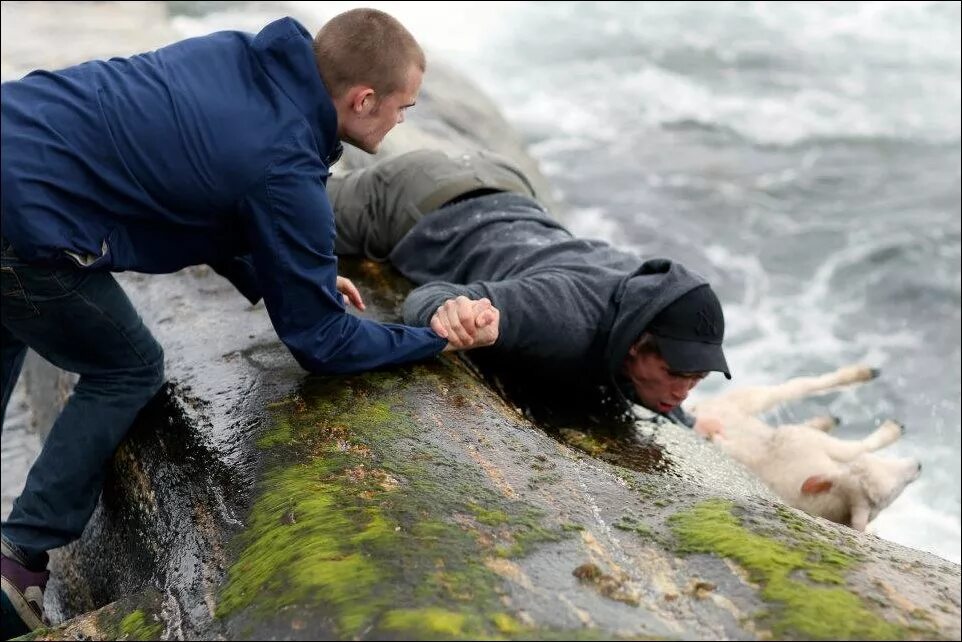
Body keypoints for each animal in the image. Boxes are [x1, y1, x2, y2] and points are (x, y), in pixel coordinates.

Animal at [688, 364, 920, 528]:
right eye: (894, 492)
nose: (919, 465)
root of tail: (693, 410)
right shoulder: (814, 442)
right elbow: (858, 447)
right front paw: (893, 430)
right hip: (745, 400)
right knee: (797, 386)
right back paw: (862, 374)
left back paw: (826, 420)